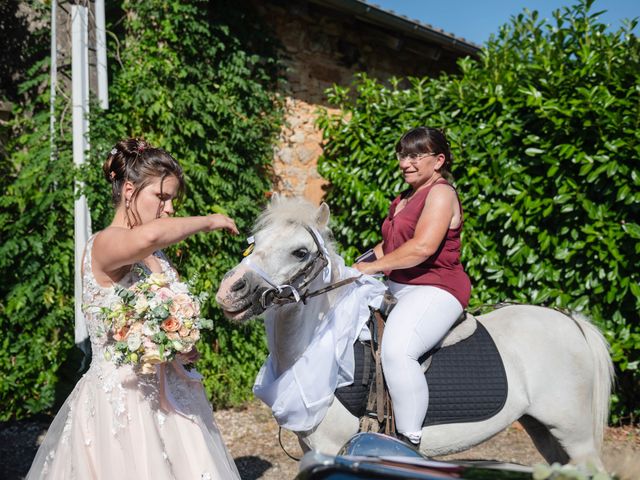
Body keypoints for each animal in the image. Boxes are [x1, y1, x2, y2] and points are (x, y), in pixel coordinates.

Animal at [216, 195, 616, 468]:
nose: (229, 291)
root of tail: (570, 321)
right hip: (544, 431)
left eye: (300, 252)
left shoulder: (332, 447)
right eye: (254, 243)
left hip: (575, 434)